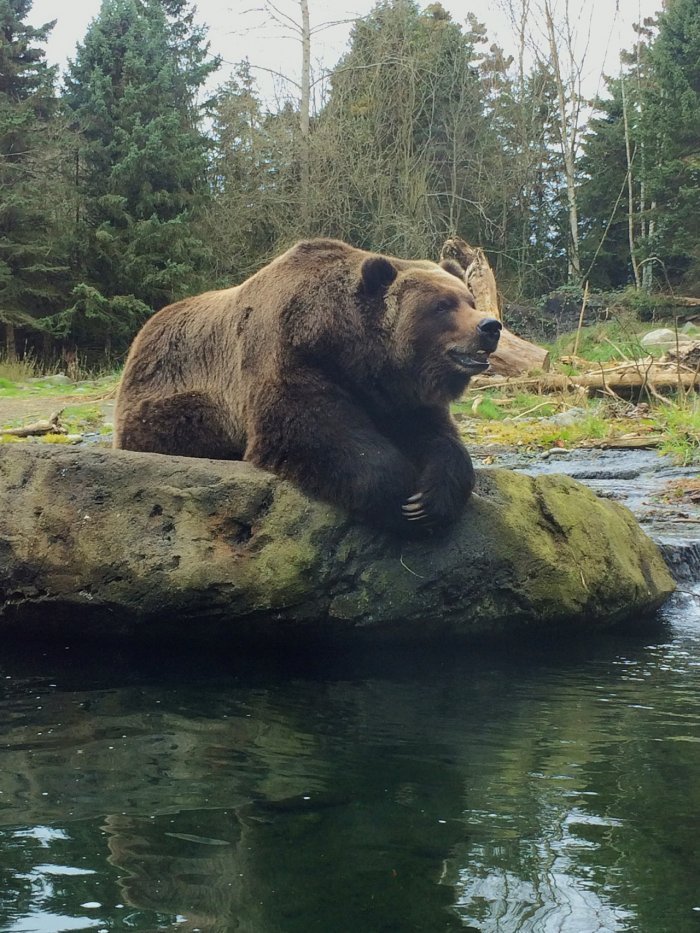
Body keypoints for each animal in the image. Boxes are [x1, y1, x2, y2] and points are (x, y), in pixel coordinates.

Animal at [113, 237, 498, 536]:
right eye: (442, 305)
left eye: (468, 300)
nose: (490, 326)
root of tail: (143, 334)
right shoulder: (288, 354)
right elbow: (313, 428)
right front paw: (399, 494)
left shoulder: (397, 392)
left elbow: (438, 437)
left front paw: (430, 499)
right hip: (174, 392)